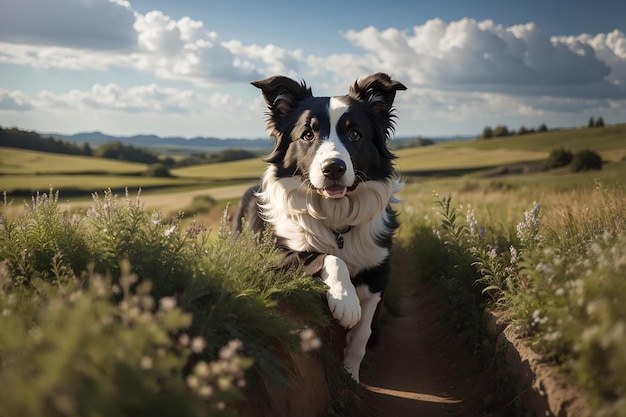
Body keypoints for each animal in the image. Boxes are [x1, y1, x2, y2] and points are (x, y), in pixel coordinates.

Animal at [233, 72, 404, 380]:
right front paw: (345, 301)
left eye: (354, 134)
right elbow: (326, 256)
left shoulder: (379, 271)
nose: (333, 168)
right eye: (307, 135)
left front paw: (352, 375)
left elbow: (362, 335)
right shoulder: (273, 257)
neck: (336, 218)